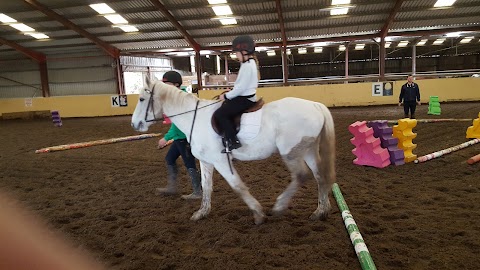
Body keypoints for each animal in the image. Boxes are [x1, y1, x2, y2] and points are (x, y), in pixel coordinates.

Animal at [129, 77, 336, 225]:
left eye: (141, 99)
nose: (135, 124)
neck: (194, 118)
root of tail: (315, 105)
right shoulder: (206, 161)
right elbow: (206, 186)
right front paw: (201, 213)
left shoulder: (221, 161)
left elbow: (237, 186)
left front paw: (258, 214)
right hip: (307, 150)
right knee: (319, 176)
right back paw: (320, 211)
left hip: (291, 153)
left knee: (301, 176)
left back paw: (279, 207)